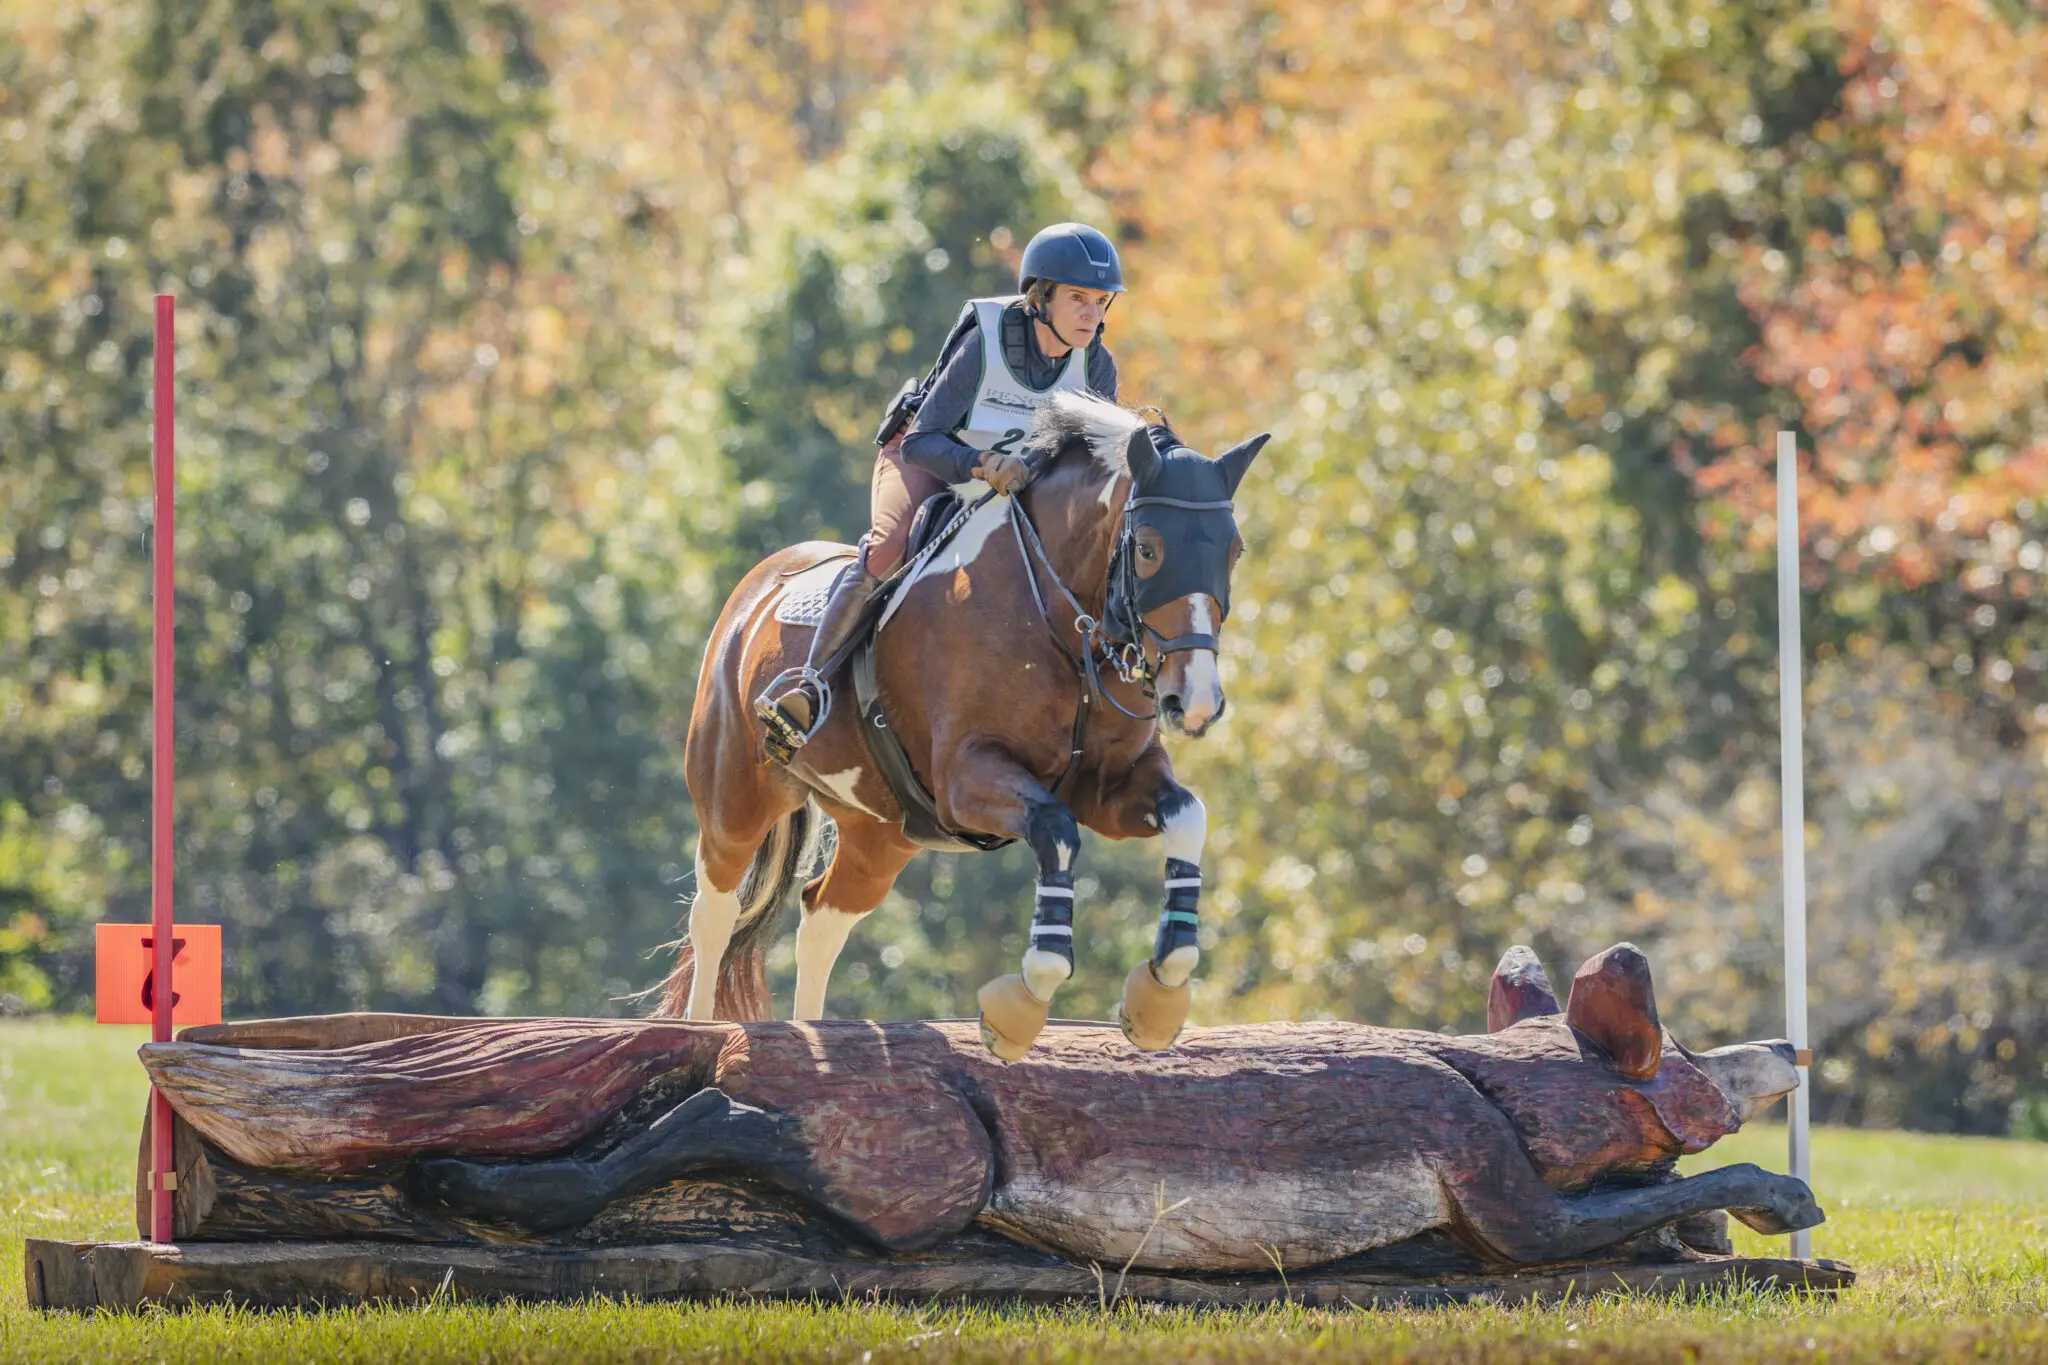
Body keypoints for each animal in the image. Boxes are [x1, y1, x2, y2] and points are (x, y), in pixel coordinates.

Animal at [656, 392, 1267, 1058]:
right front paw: (1022, 1004)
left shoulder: (1109, 787)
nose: (1196, 701)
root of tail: (756, 588)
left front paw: (1159, 997)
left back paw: (817, 1031)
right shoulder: (968, 777)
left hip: (881, 834)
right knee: (715, 910)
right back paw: (698, 1029)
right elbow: (1055, 831)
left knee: (821, 917)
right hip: (737, 795)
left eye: (1234, 551)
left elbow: (1187, 816)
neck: (1063, 623)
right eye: (1150, 549)